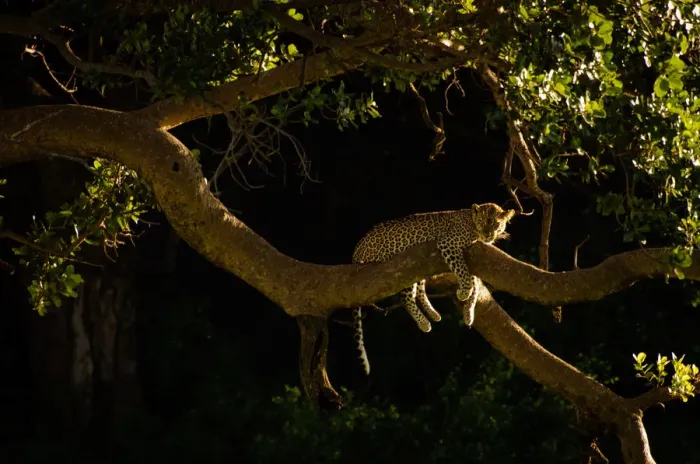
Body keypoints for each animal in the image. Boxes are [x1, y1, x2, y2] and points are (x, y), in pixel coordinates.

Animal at [351, 202, 516, 375]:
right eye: (484, 221)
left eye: (496, 224)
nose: (488, 234)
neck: (472, 223)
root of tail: (356, 251)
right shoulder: (448, 244)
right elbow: (465, 274)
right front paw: (463, 294)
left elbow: (474, 284)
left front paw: (469, 313)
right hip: (405, 268)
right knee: (406, 298)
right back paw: (424, 323)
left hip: (416, 270)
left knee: (419, 291)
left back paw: (434, 314)